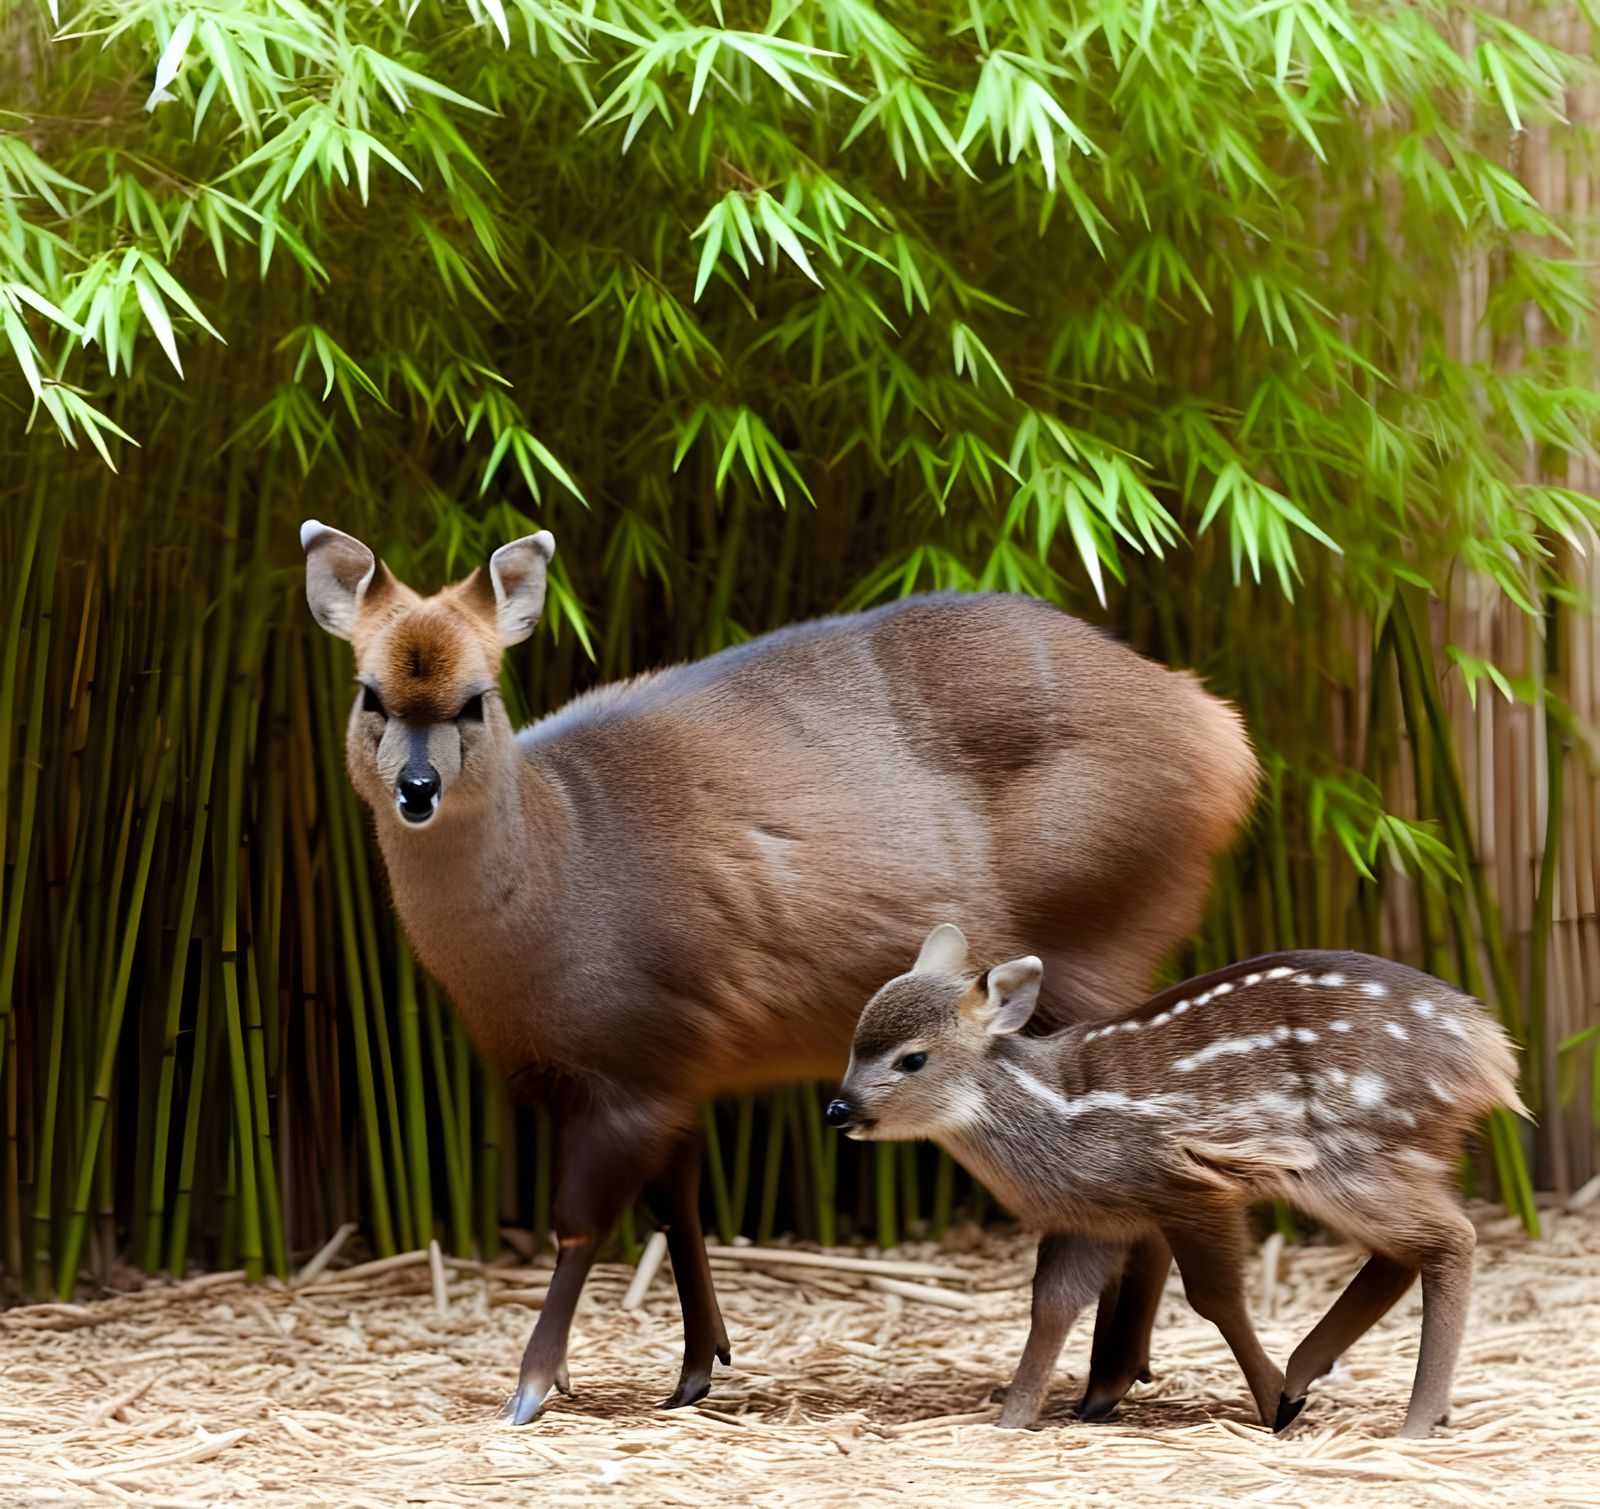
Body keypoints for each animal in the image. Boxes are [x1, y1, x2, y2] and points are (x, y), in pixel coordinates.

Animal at [298, 521, 1260, 1426]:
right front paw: (693, 1369)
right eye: (369, 692)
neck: (557, 855)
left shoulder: (635, 1062)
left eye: (476, 699)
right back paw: (1112, 1378)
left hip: (1096, 950)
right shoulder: (643, 1070)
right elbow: (679, 1210)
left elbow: (580, 1225)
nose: (416, 788)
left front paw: (532, 1388)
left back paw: (1105, 1383)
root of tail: (1221, 729)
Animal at [829, 927, 1528, 1436]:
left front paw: (1274, 1406)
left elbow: (1214, 1297)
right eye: (855, 1044)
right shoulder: (1092, 1216)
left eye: (913, 1059)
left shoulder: (1187, 1183)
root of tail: (1490, 1049)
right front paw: (1015, 1420)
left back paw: (1409, 1421)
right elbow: (1052, 1304)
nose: (839, 1109)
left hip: (1354, 1153)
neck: (1057, 1114)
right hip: (1386, 1159)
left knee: (1450, 1238)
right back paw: (1320, 1375)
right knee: (1407, 1251)